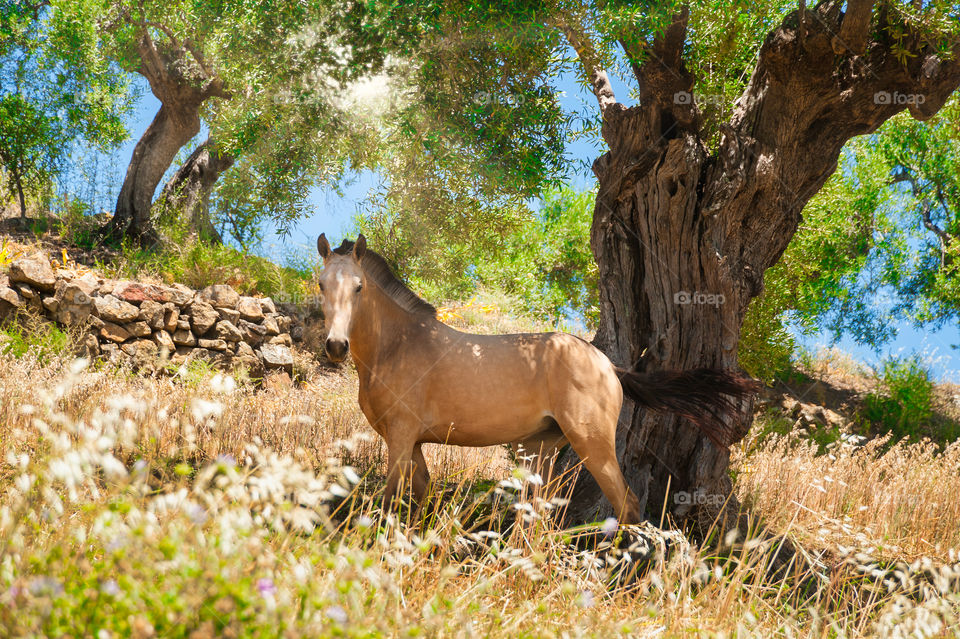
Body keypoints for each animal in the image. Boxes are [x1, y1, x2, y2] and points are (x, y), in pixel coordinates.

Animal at [316, 235, 756, 524]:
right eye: (321, 284)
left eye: (359, 286)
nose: (336, 345)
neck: (399, 345)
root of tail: (608, 366)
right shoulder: (415, 443)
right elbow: (421, 495)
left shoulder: (401, 436)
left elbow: (391, 500)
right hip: (542, 448)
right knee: (541, 515)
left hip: (592, 445)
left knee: (627, 506)